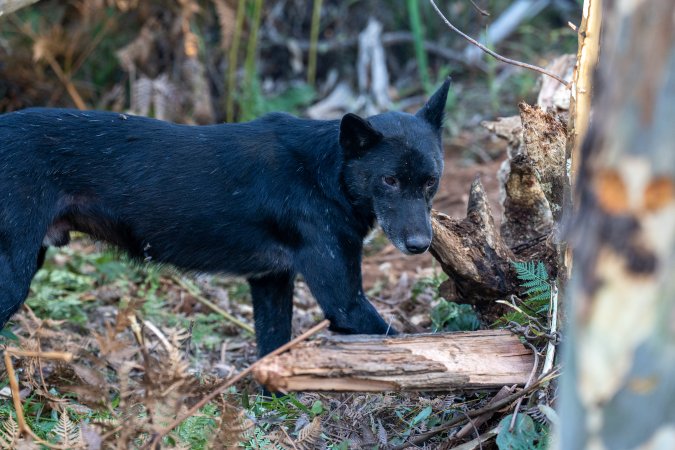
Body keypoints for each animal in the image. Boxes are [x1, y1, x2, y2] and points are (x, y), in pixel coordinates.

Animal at [1, 79, 454, 356]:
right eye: (389, 180)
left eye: (431, 181)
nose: (419, 245)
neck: (324, 173)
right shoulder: (345, 302)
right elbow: (407, 342)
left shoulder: (271, 281)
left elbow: (271, 349)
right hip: (14, 275)